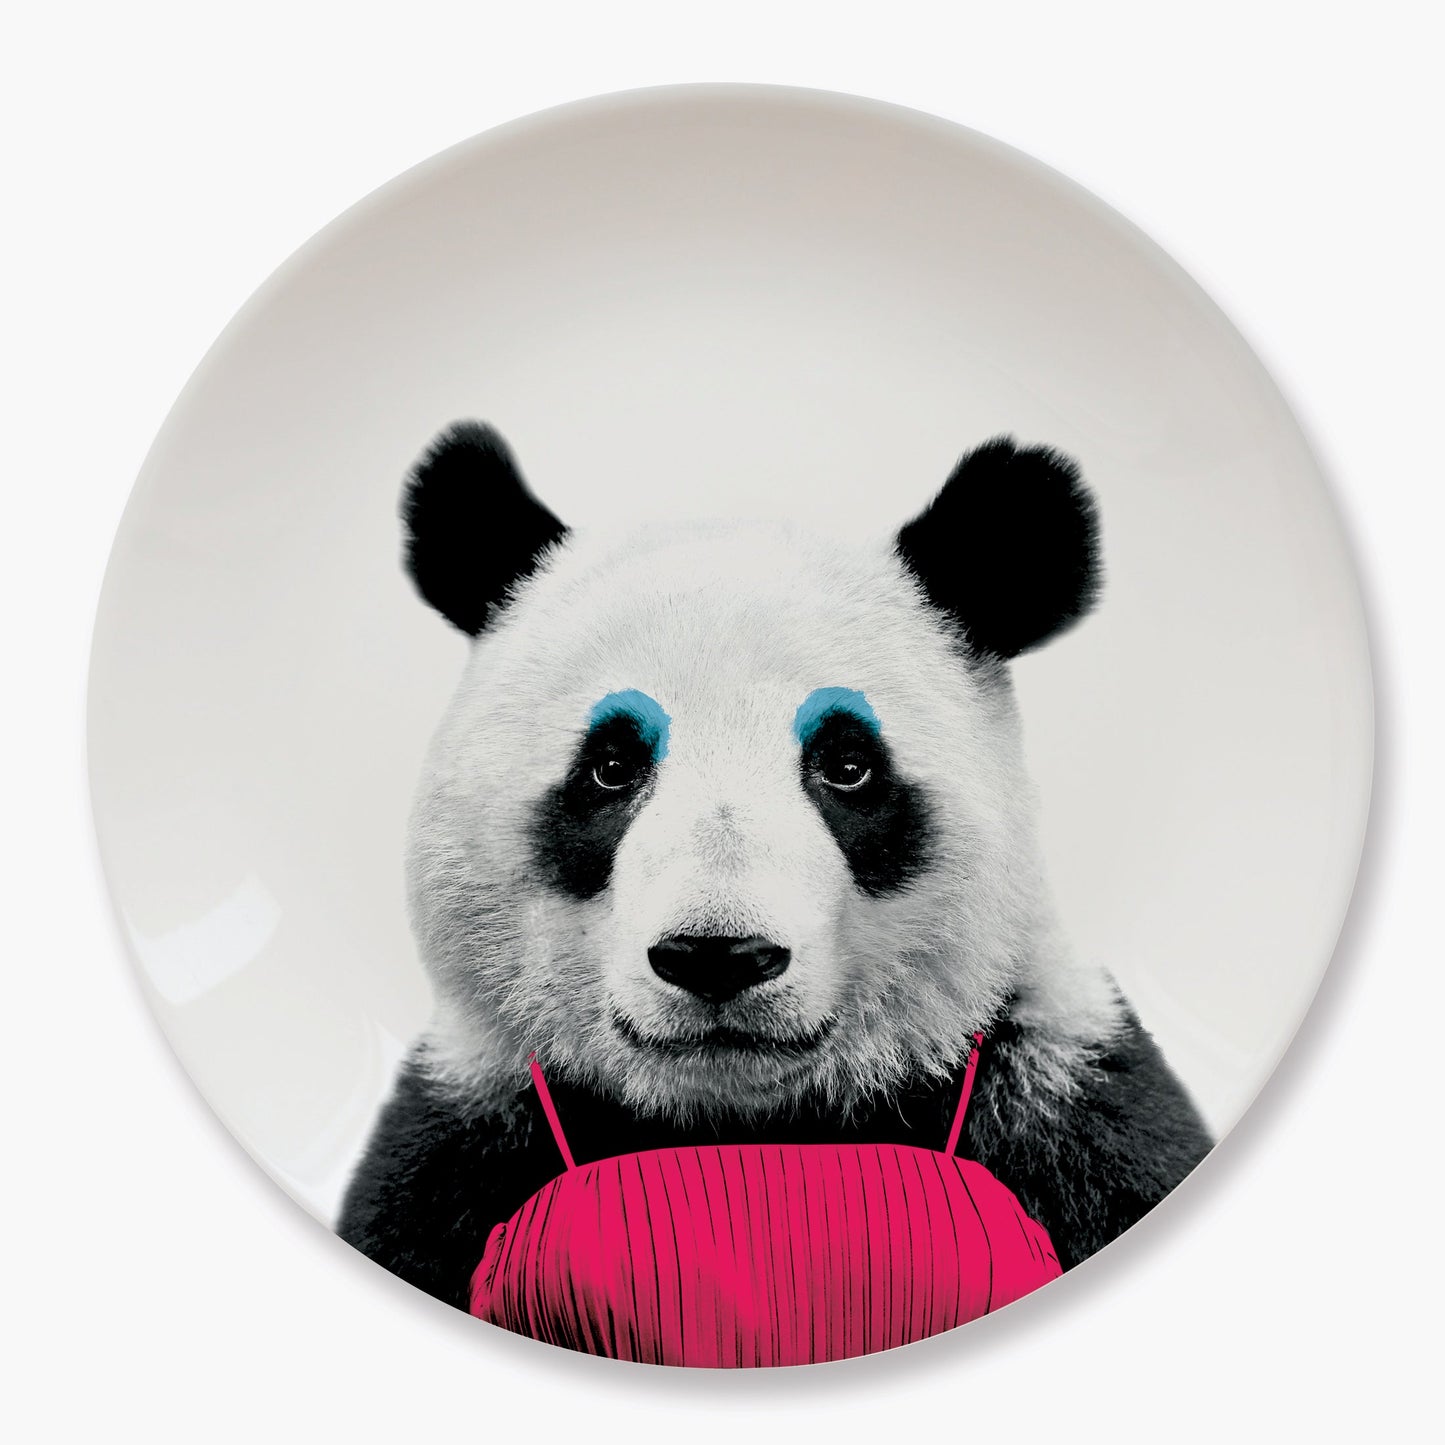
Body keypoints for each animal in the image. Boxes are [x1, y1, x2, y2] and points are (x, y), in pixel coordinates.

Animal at [338, 421, 1213, 1318]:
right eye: (610, 766)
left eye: (847, 765)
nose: (717, 955)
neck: (752, 1119)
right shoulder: (467, 1146)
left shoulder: (1056, 1109)